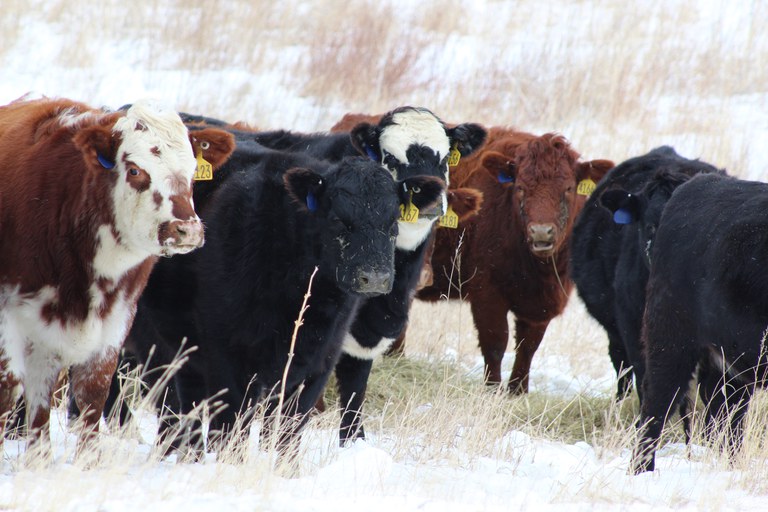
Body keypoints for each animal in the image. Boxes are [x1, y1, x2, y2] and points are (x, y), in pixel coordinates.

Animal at [0, 95, 234, 452]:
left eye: (194, 171)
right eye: (135, 170)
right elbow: (9, 388)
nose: (187, 230)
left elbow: (92, 393)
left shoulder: (115, 318)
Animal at [412, 127, 616, 392]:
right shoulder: (487, 295)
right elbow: (495, 343)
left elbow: (528, 347)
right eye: (520, 188)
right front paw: (492, 389)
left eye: (568, 188)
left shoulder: (541, 306)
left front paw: (518, 391)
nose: (541, 232)